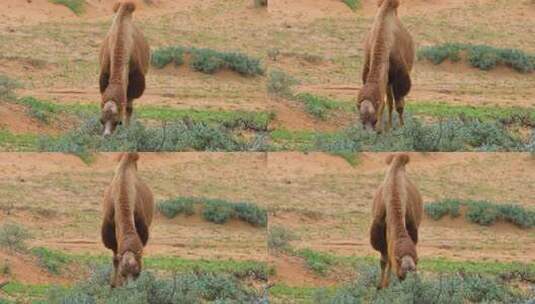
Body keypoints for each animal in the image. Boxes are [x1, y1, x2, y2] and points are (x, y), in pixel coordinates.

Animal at [99, 0, 150, 137]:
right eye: (101, 120)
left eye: (117, 121)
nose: (106, 135)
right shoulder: (104, 74)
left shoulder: (135, 79)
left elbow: (128, 107)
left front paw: (127, 130)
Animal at [358, 0, 416, 133]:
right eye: (362, 122)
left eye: (373, 120)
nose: (370, 133)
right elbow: (384, 103)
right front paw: (382, 129)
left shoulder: (400, 77)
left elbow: (399, 105)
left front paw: (402, 128)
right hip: (388, 80)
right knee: (389, 101)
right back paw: (388, 126)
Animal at [368, 153, 422, 288]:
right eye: (401, 276)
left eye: (414, 272)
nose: (408, 286)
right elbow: (384, 259)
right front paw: (381, 286)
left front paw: (386, 285)